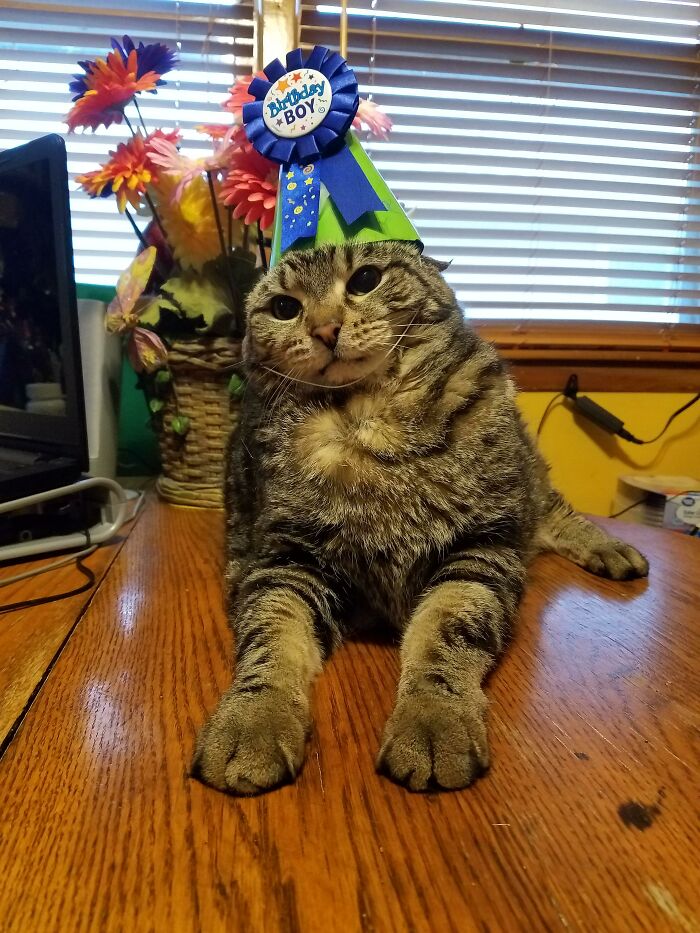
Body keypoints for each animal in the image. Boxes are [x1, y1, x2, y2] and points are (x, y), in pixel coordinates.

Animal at [191, 240, 652, 792]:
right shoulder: (285, 560)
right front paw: (252, 722)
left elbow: (444, 633)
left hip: (524, 475)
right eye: (284, 307)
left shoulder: (482, 548)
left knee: (553, 509)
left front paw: (432, 721)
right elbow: (273, 640)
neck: (369, 419)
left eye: (365, 279)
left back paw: (613, 549)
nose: (324, 329)